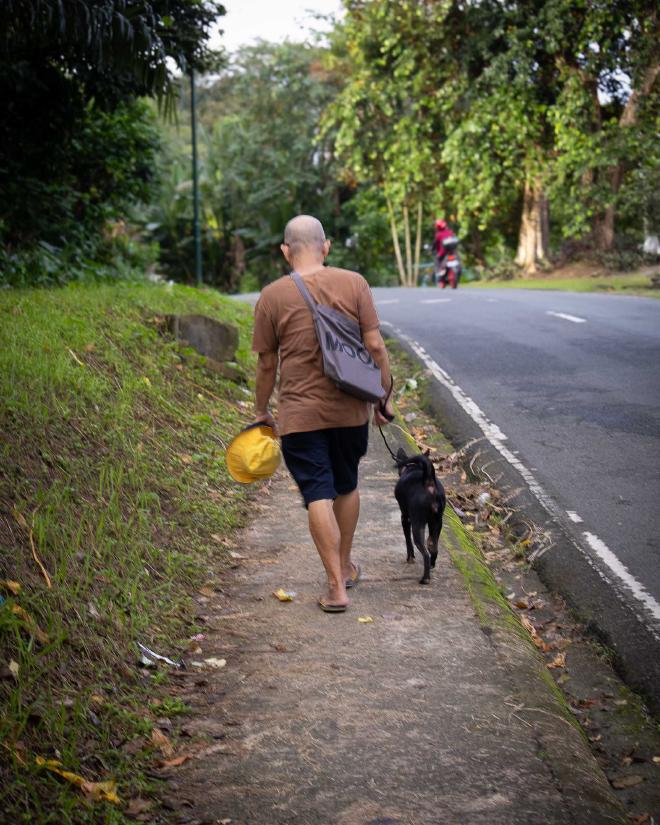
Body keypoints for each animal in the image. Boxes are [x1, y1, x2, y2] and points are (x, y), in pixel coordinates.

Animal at [394, 448, 446, 584]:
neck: (413, 467)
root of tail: (428, 482)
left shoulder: (405, 518)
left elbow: (408, 541)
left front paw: (410, 558)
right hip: (437, 522)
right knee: (433, 547)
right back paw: (432, 565)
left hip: (418, 526)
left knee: (425, 553)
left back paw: (425, 578)